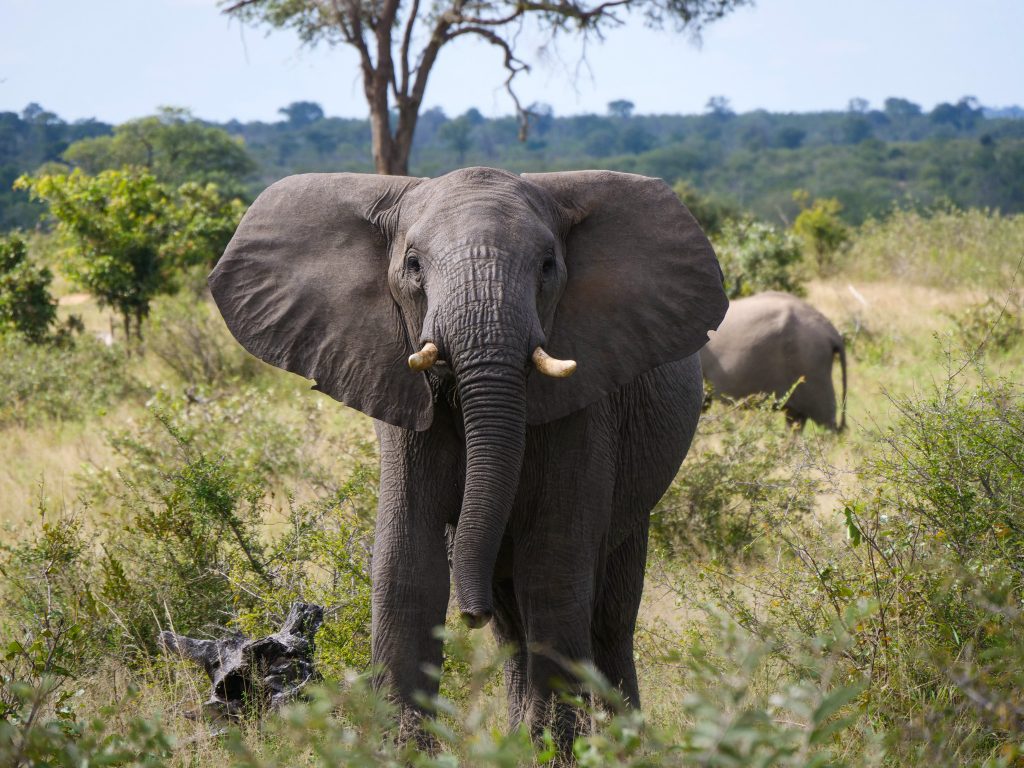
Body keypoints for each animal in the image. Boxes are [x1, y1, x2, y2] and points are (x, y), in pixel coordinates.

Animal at [208, 167, 728, 749]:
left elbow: (554, 565)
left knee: (608, 614)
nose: (468, 615)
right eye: (413, 265)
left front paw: (556, 752)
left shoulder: (589, 406)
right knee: (512, 620)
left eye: (548, 266)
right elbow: (407, 561)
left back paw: (617, 742)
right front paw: (406, 750)